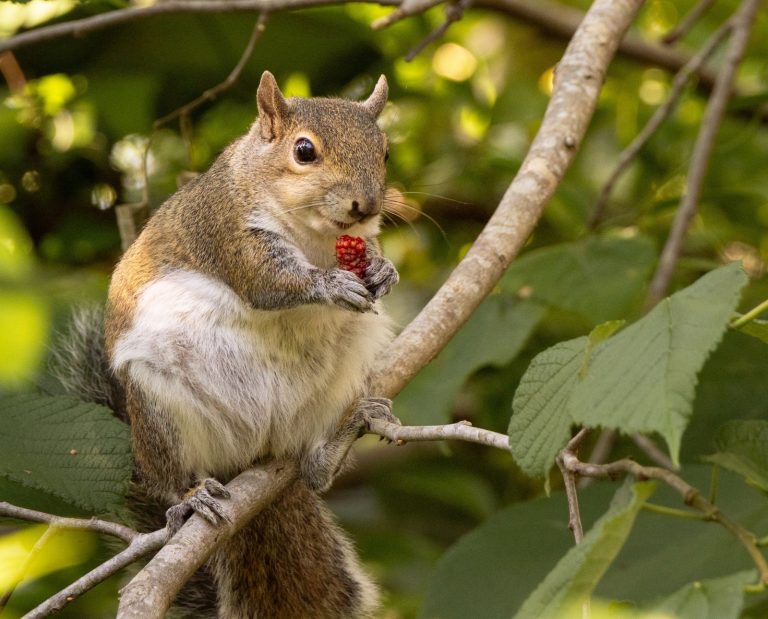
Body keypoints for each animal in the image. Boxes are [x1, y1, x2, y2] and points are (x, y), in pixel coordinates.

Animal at [54, 71, 400, 618]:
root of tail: (248, 460)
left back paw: (346, 433)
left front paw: (385, 271)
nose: (365, 204)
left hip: (338, 379)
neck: (316, 236)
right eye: (304, 151)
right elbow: (268, 283)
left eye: (385, 152)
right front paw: (328, 285)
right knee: (170, 476)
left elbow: (374, 253)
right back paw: (192, 497)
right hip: (159, 408)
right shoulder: (228, 233)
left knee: (313, 471)